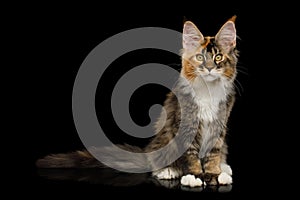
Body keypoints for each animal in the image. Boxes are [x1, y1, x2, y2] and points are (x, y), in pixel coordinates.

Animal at [37, 16, 239, 188]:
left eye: (218, 57)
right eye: (200, 57)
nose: (210, 68)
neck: (208, 90)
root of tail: (149, 151)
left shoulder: (220, 124)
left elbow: (213, 153)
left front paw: (214, 174)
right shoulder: (185, 124)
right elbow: (190, 154)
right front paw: (195, 176)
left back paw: (224, 168)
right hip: (164, 141)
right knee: (157, 162)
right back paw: (168, 170)